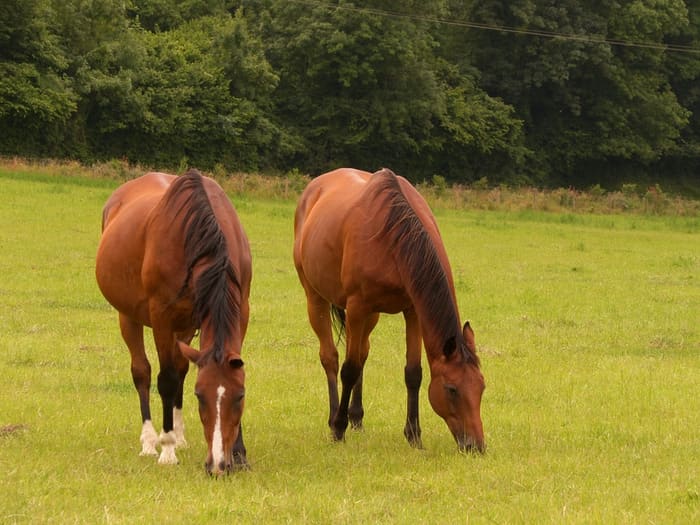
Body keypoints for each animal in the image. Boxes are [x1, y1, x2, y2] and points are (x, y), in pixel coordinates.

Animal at [95, 169, 252, 475]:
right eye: (200, 396)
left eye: (239, 396)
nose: (217, 465)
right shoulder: (162, 318)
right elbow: (165, 379)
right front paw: (167, 449)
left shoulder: (241, 311)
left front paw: (239, 454)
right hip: (129, 316)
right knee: (142, 372)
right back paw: (150, 441)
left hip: (186, 325)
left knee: (181, 368)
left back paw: (179, 437)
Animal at [293, 168, 485, 452]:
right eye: (452, 389)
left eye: (481, 387)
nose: (476, 446)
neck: (394, 236)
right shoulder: (357, 307)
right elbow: (349, 369)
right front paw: (339, 429)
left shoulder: (412, 311)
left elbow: (413, 373)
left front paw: (414, 435)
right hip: (316, 298)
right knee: (331, 358)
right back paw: (334, 417)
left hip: (370, 316)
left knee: (362, 353)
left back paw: (356, 417)